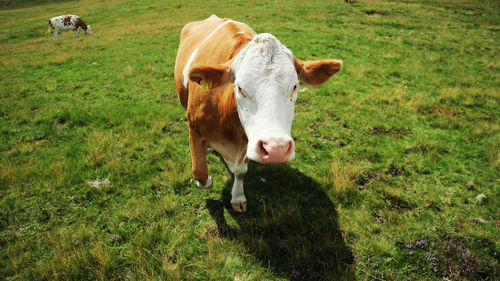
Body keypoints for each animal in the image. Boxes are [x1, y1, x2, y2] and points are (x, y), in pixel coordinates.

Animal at [174, 15, 342, 211]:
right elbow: (200, 172)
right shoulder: (194, 128)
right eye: (240, 87)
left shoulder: (249, 140)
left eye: (295, 86)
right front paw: (207, 179)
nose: (276, 149)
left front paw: (238, 197)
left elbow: (240, 171)